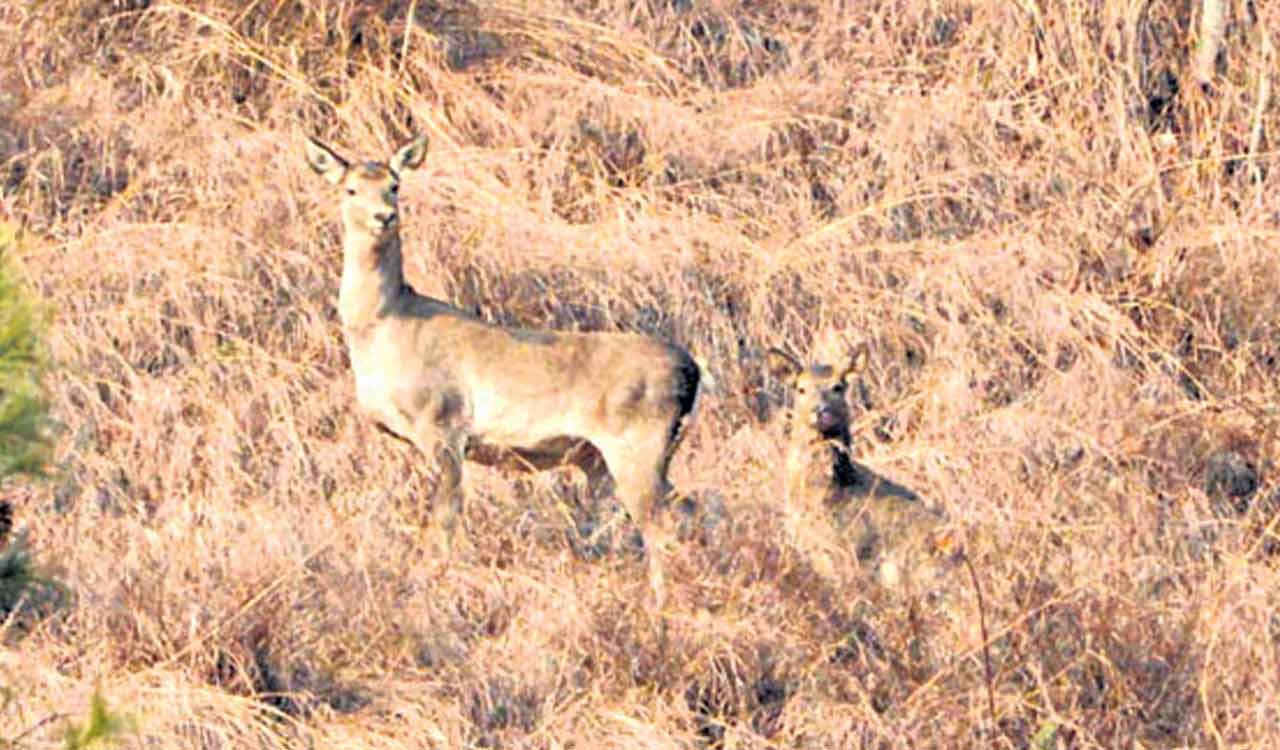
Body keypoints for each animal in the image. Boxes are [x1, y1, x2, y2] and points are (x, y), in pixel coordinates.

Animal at [304, 134, 702, 602]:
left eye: (394, 184)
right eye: (350, 189)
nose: (384, 216)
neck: (384, 325)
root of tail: (691, 371)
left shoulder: (444, 422)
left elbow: (445, 520)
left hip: (637, 443)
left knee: (662, 524)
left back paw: (659, 603)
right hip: (623, 457)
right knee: (683, 509)